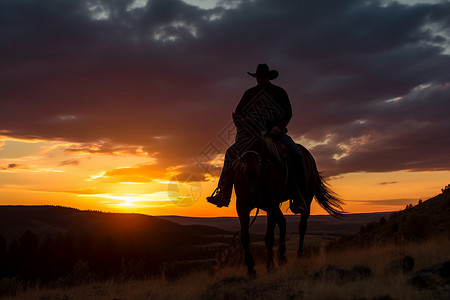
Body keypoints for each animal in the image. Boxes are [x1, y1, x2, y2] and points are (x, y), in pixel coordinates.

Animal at [234, 127, 342, 276]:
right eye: (239, 140)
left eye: (257, 142)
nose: (250, 172)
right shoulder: (242, 206)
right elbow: (245, 237)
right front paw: (251, 269)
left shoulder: (271, 205)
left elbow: (269, 236)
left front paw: (270, 266)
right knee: (283, 222)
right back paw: (282, 257)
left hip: (305, 200)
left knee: (302, 226)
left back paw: (299, 255)